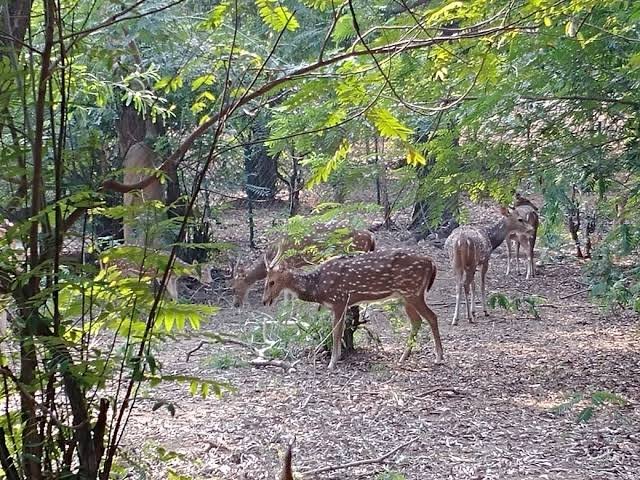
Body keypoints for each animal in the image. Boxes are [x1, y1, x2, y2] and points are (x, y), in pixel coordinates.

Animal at [231, 226, 375, 307]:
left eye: (235, 287)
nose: (236, 304)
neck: (273, 252)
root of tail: (371, 236)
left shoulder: (289, 261)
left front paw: (286, 307)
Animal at [262, 247, 443, 370]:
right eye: (265, 281)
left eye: (272, 282)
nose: (264, 300)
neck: (318, 287)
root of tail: (432, 263)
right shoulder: (341, 304)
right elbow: (339, 330)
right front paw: (337, 358)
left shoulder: (339, 300)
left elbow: (336, 331)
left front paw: (332, 362)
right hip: (404, 296)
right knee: (416, 320)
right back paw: (404, 357)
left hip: (413, 291)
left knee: (432, 317)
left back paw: (439, 357)